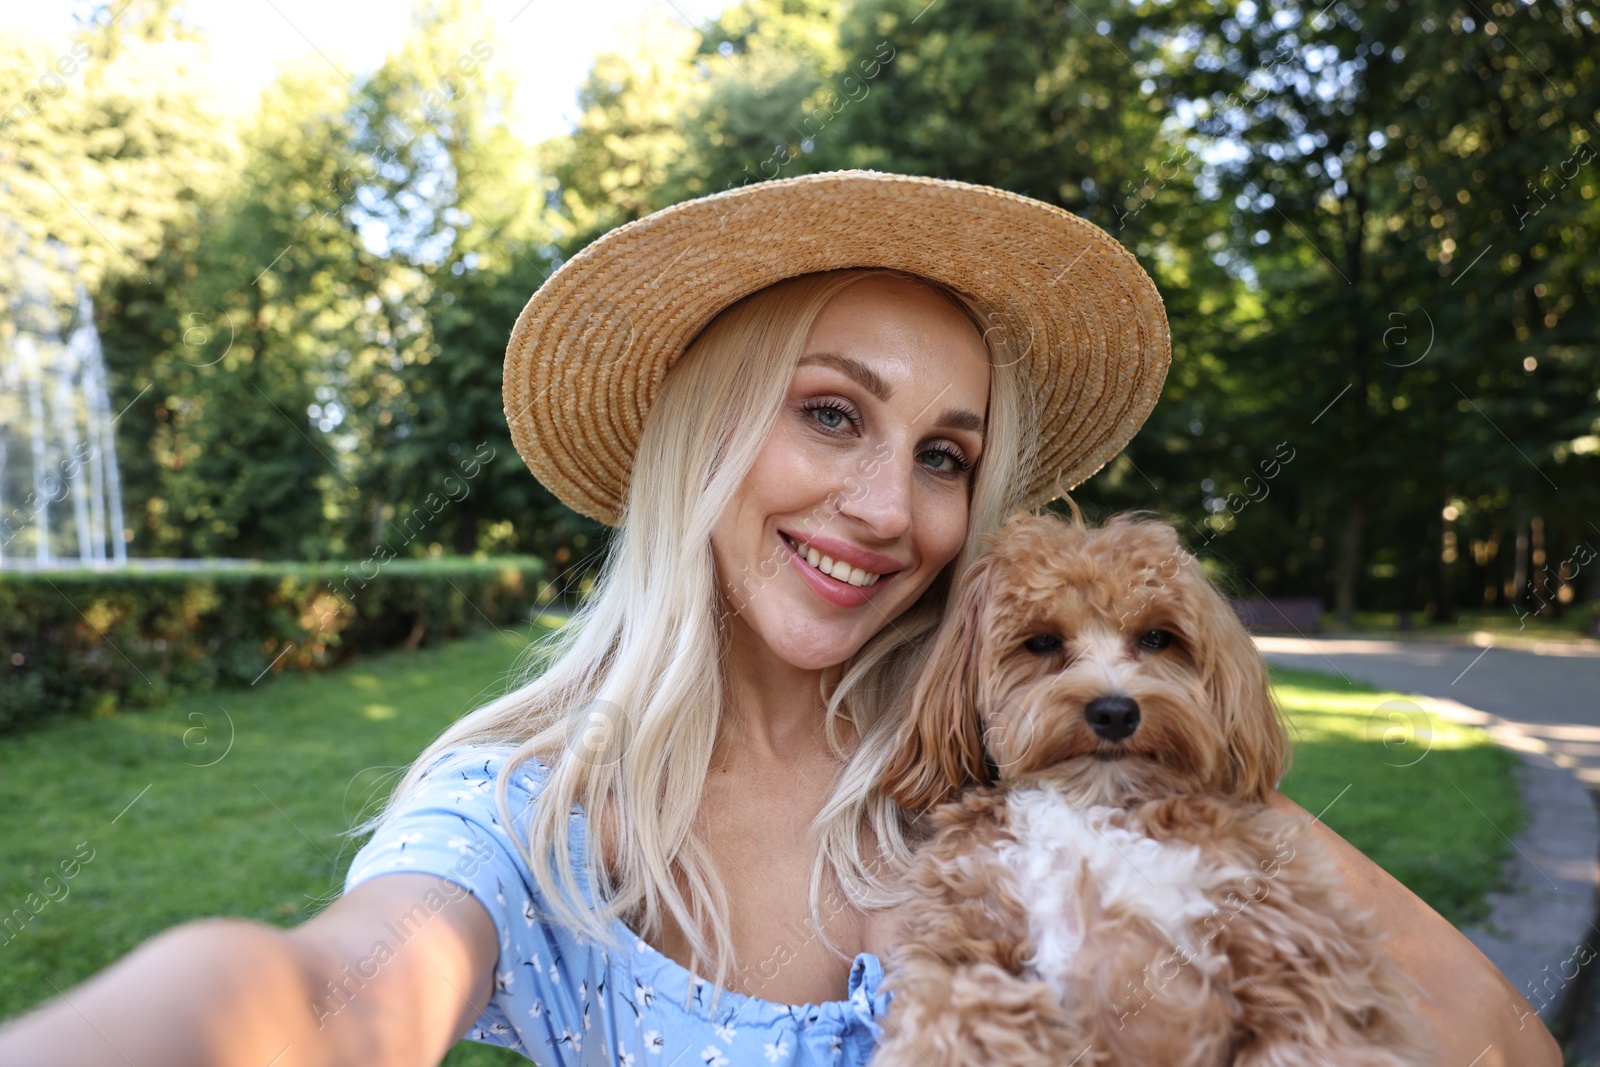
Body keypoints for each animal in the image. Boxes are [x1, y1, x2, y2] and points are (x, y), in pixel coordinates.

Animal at [876, 508, 1427, 1067]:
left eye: (1157, 638)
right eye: (1043, 642)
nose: (1115, 711)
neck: (1094, 811)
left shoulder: (1296, 952)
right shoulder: (967, 936)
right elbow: (956, 1011)